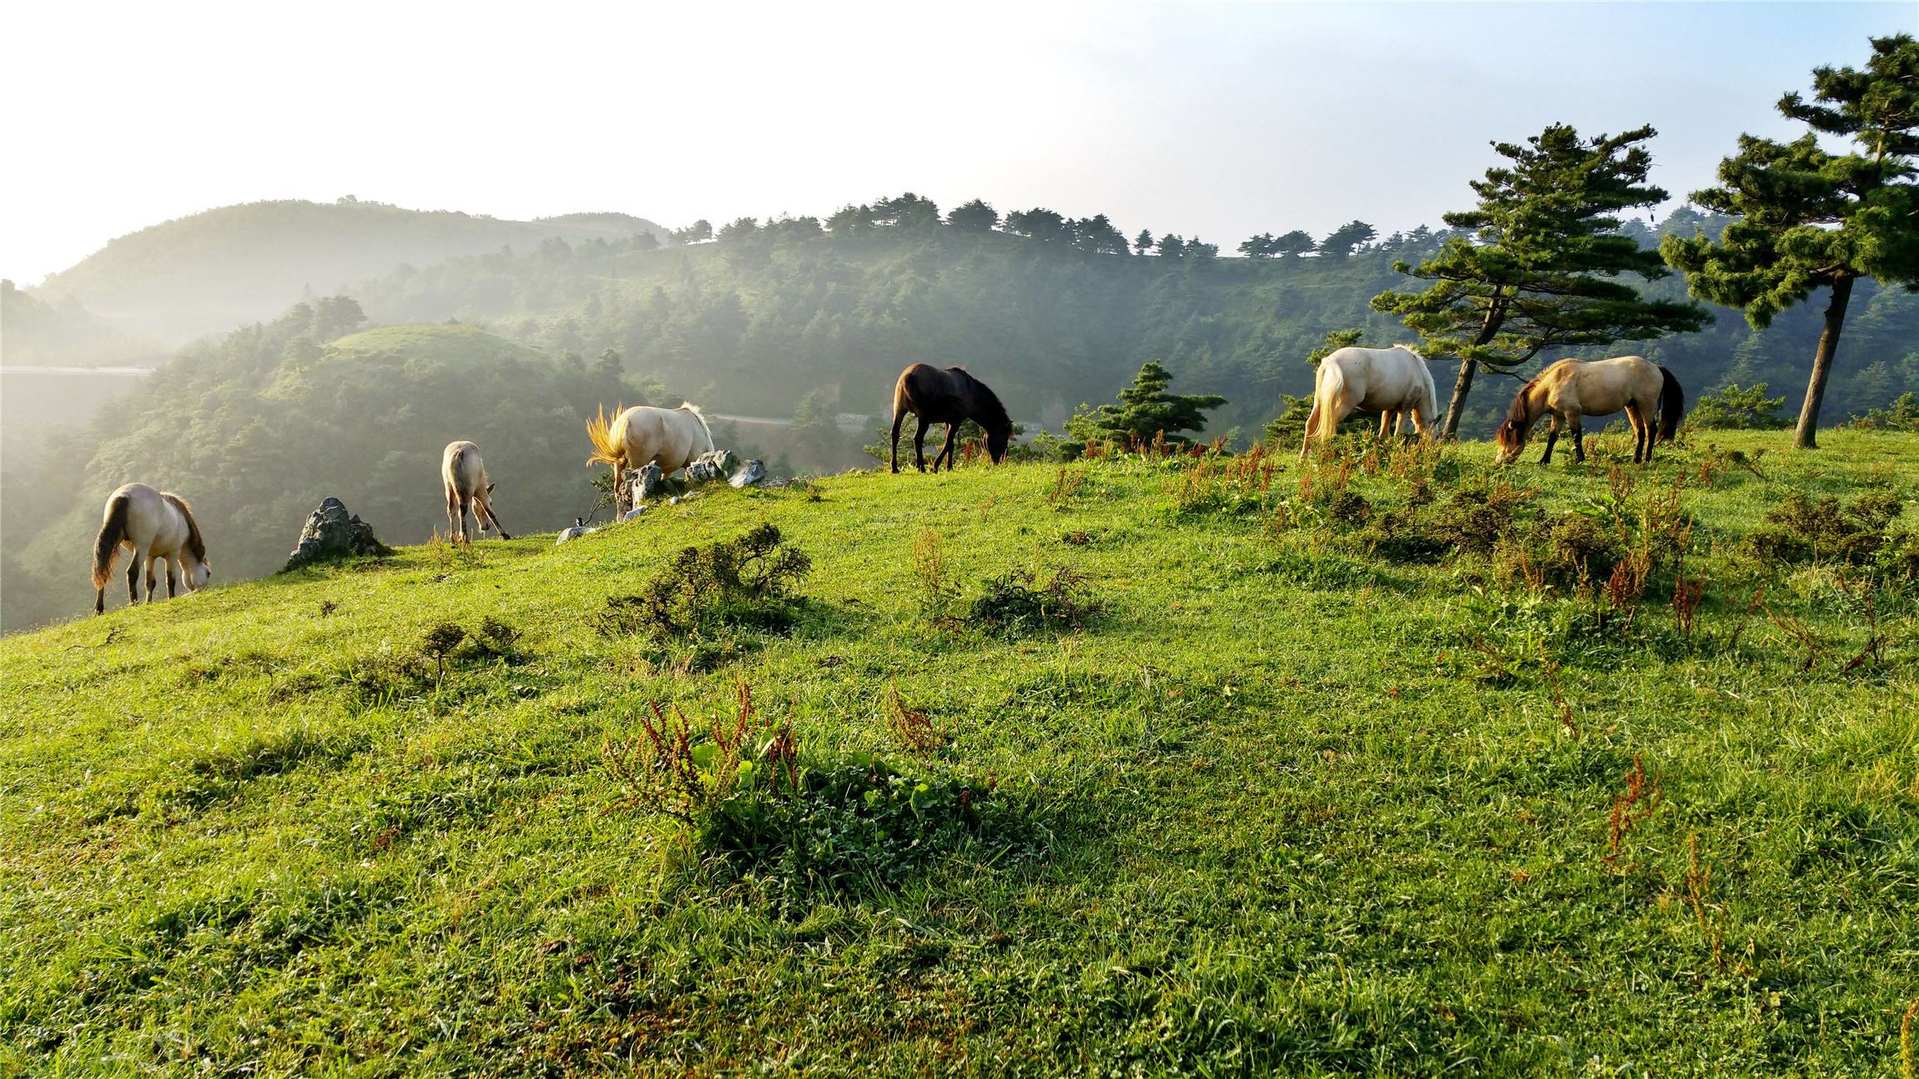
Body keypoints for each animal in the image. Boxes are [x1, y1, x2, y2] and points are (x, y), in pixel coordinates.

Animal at [91, 479, 212, 614]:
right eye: (208, 573)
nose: (204, 591)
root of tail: (124, 496)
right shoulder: (172, 555)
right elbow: (170, 580)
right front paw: (171, 599)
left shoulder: (149, 557)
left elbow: (150, 582)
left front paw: (148, 603)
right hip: (141, 547)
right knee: (132, 572)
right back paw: (134, 603)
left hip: (118, 543)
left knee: (103, 572)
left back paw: (99, 609)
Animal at [1297, 341, 1435, 455]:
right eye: (1436, 436)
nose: (1432, 451)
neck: (1417, 370)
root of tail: (1331, 361)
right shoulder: (1404, 408)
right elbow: (1398, 434)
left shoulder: (1389, 408)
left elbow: (1383, 433)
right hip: (1346, 404)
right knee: (1330, 424)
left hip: (1319, 401)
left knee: (1310, 424)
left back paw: (1303, 457)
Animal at [1496, 355, 1681, 464]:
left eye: (1508, 438)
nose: (1499, 461)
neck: (1553, 383)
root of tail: (1656, 367)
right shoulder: (1558, 415)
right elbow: (1552, 438)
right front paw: (1544, 460)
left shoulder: (1571, 412)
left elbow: (1576, 436)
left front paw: (1579, 459)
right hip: (1632, 406)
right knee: (1640, 431)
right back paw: (1636, 459)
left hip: (1646, 405)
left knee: (1651, 430)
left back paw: (1647, 459)